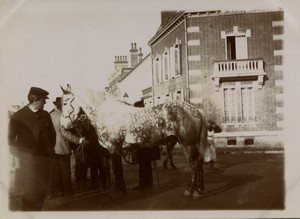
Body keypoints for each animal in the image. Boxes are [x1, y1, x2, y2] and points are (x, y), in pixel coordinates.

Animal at [59, 84, 207, 199]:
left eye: (65, 103)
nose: (62, 125)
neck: (108, 114)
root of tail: (196, 110)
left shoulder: (114, 147)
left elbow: (117, 169)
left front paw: (118, 191)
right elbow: (118, 169)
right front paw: (120, 189)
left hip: (188, 144)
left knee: (195, 164)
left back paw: (193, 192)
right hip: (185, 143)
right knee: (197, 163)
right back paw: (195, 190)